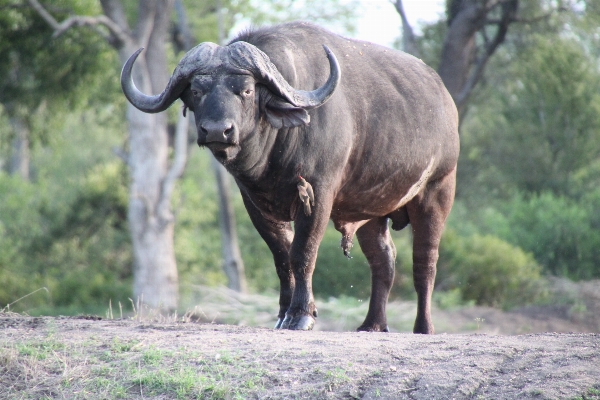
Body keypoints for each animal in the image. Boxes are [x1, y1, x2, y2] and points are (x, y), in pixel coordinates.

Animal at [122, 21, 460, 334]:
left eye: (246, 90)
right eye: (196, 90)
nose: (218, 131)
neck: (276, 150)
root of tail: (445, 100)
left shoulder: (318, 196)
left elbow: (303, 253)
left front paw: (301, 315)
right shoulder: (256, 205)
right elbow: (282, 258)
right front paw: (284, 314)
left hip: (437, 193)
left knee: (425, 262)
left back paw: (423, 327)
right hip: (371, 212)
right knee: (383, 261)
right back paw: (372, 324)